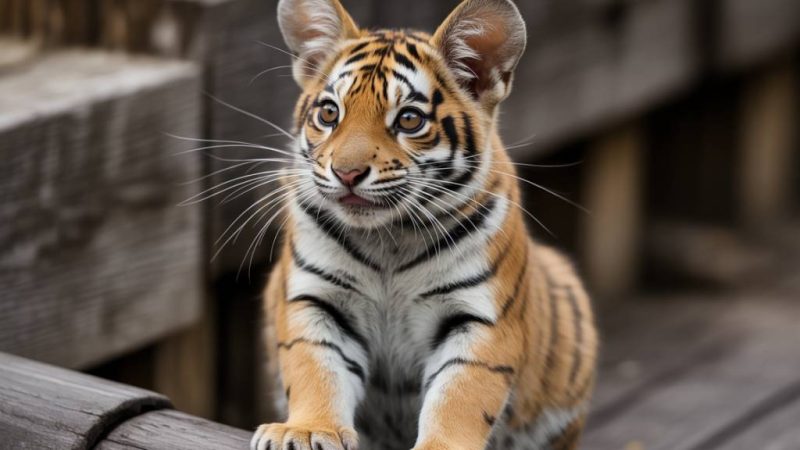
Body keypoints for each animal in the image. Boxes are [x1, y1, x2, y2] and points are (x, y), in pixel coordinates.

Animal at [250, 0, 598, 449]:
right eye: (329, 113)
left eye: (409, 120)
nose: (346, 173)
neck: (389, 239)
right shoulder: (316, 298)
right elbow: (315, 367)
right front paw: (308, 430)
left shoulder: (480, 318)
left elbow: (460, 394)